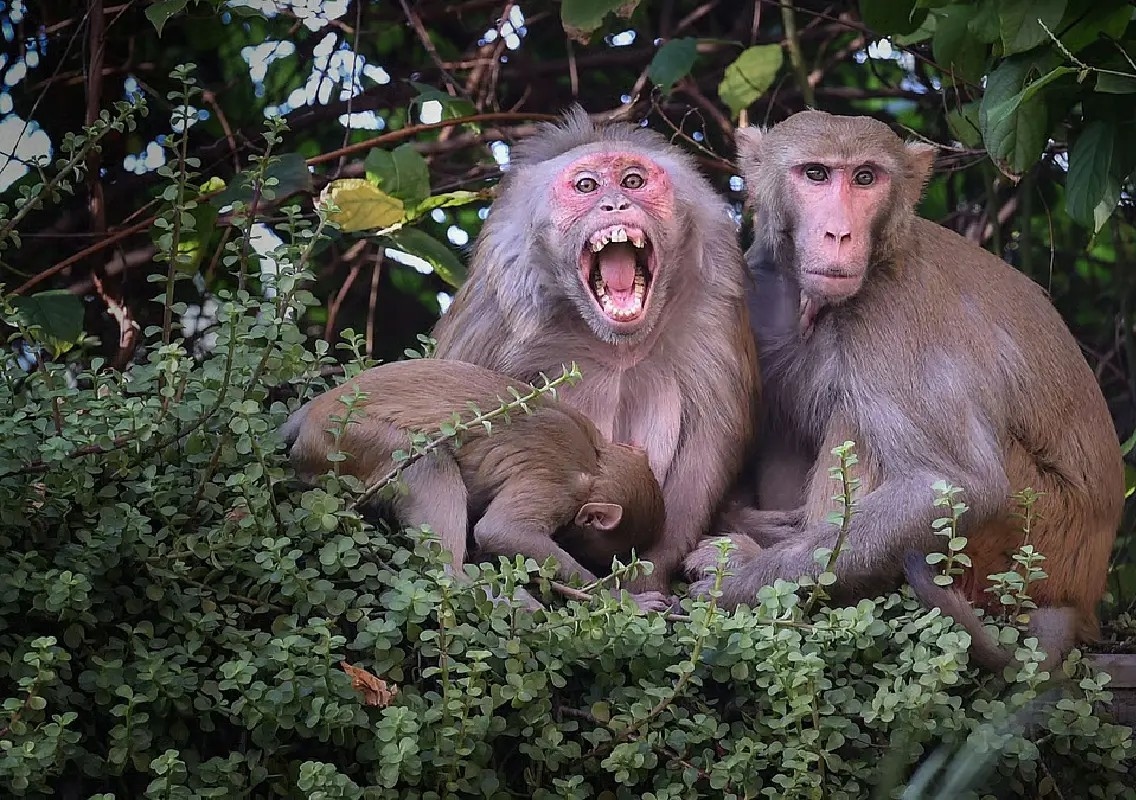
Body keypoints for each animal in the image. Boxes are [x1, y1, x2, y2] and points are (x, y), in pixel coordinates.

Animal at [280, 358, 667, 598]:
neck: (597, 458)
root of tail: (314, 412)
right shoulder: (560, 487)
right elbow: (501, 531)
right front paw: (613, 596)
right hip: (348, 439)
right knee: (428, 463)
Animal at [427, 106, 761, 600]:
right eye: (587, 186)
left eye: (633, 181)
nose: (615, 204)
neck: (615, 342)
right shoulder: (502, 302)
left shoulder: (716, 296)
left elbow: (710, 438)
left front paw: (646, 581)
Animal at [685, 110, 1124, 673]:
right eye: (815, 174)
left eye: (865, 178)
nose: (839, 233)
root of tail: (1082, 594)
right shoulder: (755, 297)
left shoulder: (889, 313)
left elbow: (952, 483)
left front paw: (736, 584)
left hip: (1031, 540)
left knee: (859, 422)